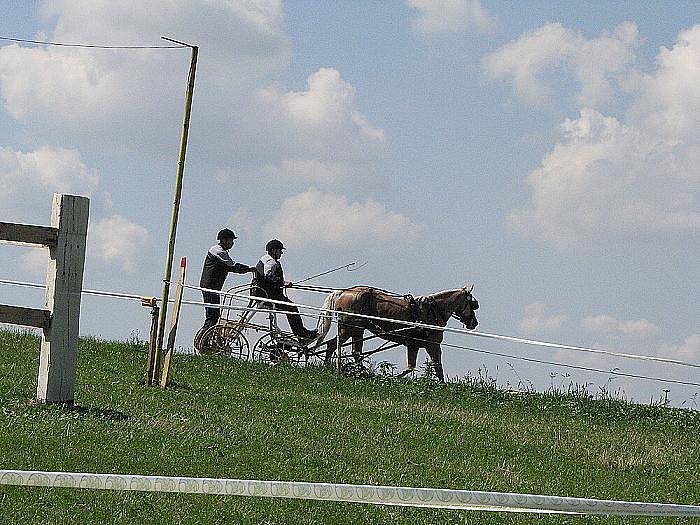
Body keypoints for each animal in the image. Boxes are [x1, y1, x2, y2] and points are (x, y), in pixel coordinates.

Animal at [316, 284, 476, 382]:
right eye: (473, 304)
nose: (474, 323)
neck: (433, 312)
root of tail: (343, 292)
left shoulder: (413, 345)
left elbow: (412, 367)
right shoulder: (433, 345)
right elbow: (437, 367)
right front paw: (443, 387)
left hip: (357, 330)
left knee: (354, 352)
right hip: (348, 329)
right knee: (333, 345)